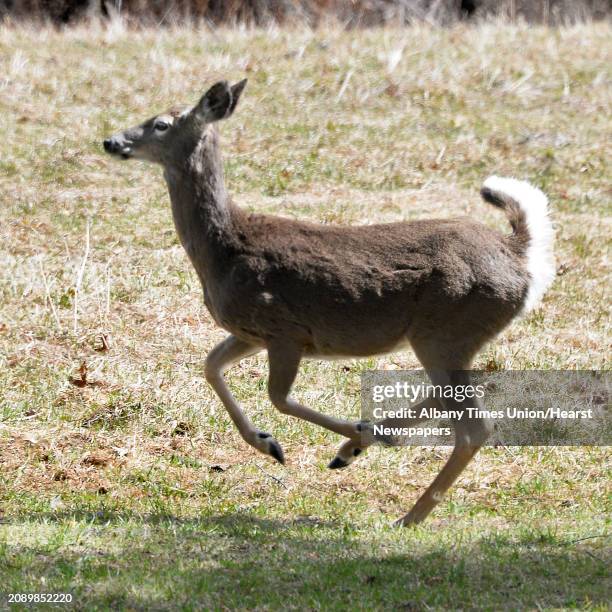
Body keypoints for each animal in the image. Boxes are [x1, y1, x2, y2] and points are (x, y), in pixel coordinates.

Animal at [104, 77, 556, 524]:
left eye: (161, 124)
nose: (111, 141)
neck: (225, 250)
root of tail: (520, 256)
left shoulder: (283, 328)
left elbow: (278, 396)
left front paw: (322, 439)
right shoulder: (250, 332)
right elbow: (210, 366)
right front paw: (270, 443)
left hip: (445, 330)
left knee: (475, 426)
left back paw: (403, 509)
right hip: (449, 338)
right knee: (456, 399)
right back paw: (367, 448)